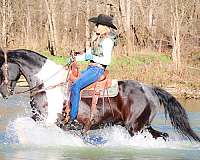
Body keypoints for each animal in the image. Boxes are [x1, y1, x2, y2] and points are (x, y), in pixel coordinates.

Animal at [0, 48, 199, 142]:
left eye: (1, 69)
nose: (3, 92)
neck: (48, 84)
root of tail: (149, 88)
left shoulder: (48, 121)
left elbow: (21, 124)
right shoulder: (39, 118)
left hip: (135, 127)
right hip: (143, 126)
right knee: (163, 135)